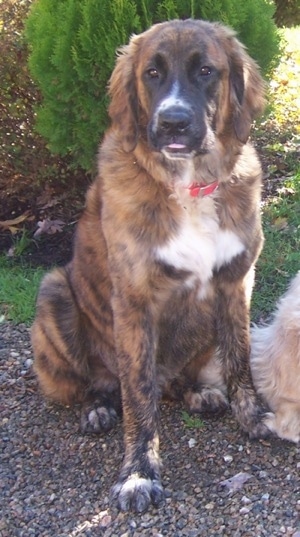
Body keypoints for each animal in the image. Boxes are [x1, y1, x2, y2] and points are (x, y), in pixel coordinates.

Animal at [31, 19, 270, 510]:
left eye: (205, 70)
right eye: (152, 74)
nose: (173, 122)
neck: (190, 187)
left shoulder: (235, 283)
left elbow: (238, 359)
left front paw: (252, 416)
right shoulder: (135, 302)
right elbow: (138, 395)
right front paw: (139, 472)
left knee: (182, 379)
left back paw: (199, 393)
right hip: (54, 291)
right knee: (100, 381)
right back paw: (99, 407)